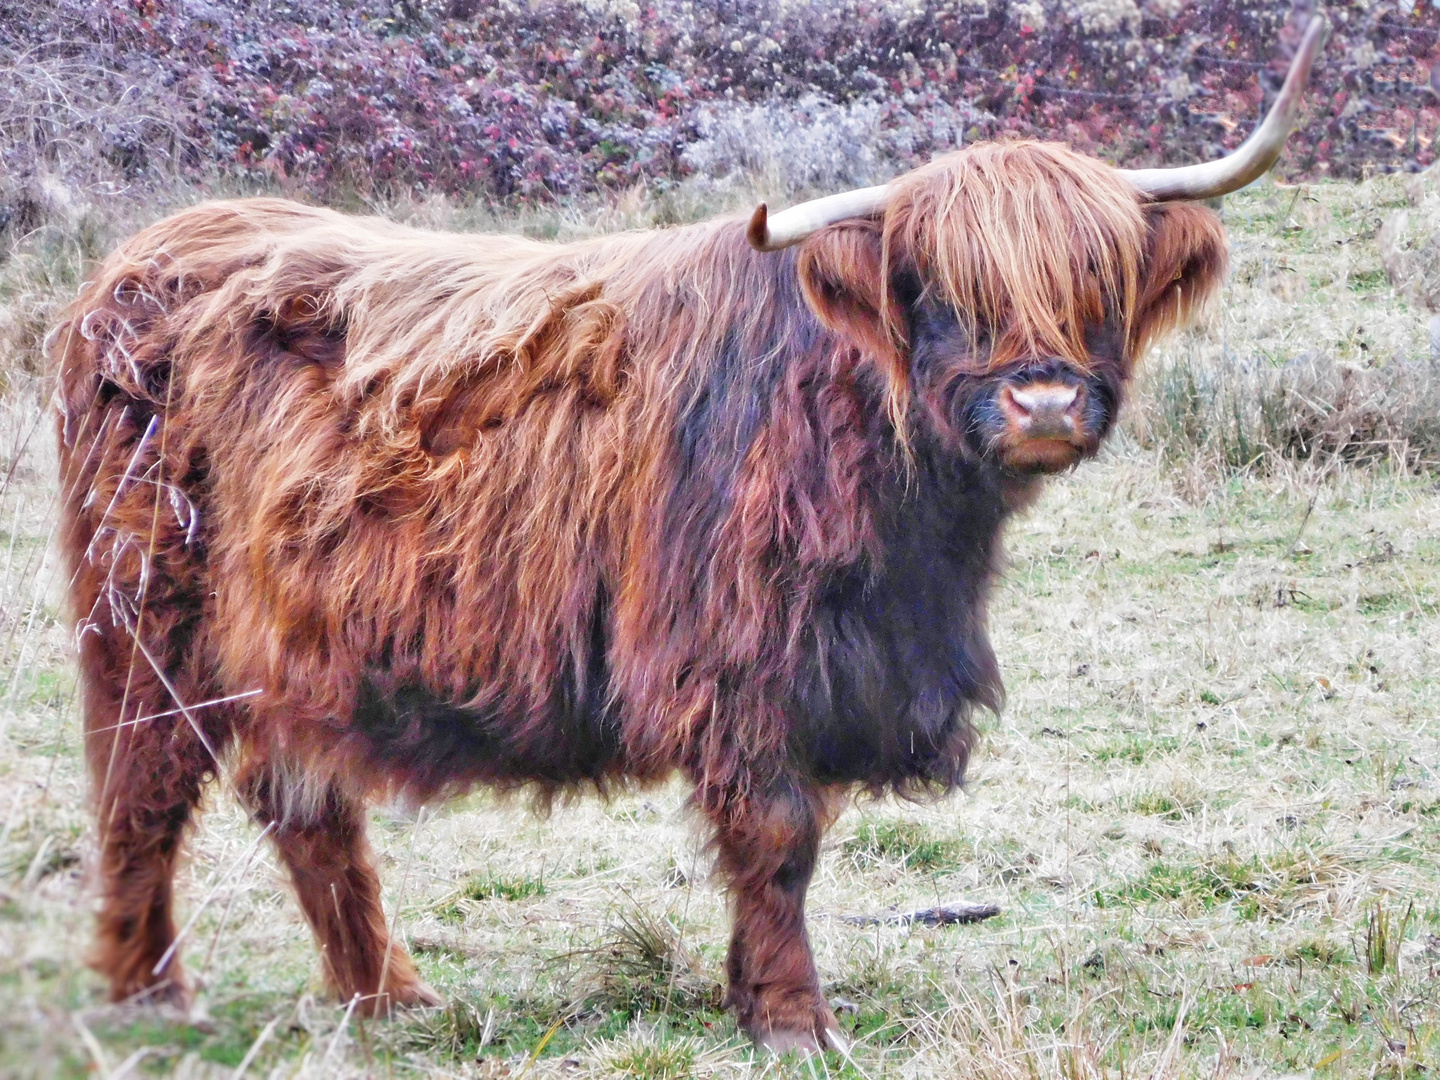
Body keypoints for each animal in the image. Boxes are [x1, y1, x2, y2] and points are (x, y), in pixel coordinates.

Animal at [50, 19, 1319, 1059]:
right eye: (938, 286)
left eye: (1099, 278)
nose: (1045, 403)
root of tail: (145, 258)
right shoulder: (738, 662)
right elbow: (775, 839)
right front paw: (795, 1019)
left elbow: (796, 840)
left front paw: (756, 997)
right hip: (148, 622)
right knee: (141, 794)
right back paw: (149, 997)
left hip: (288, 647)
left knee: (303, 804)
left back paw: (390, 997)